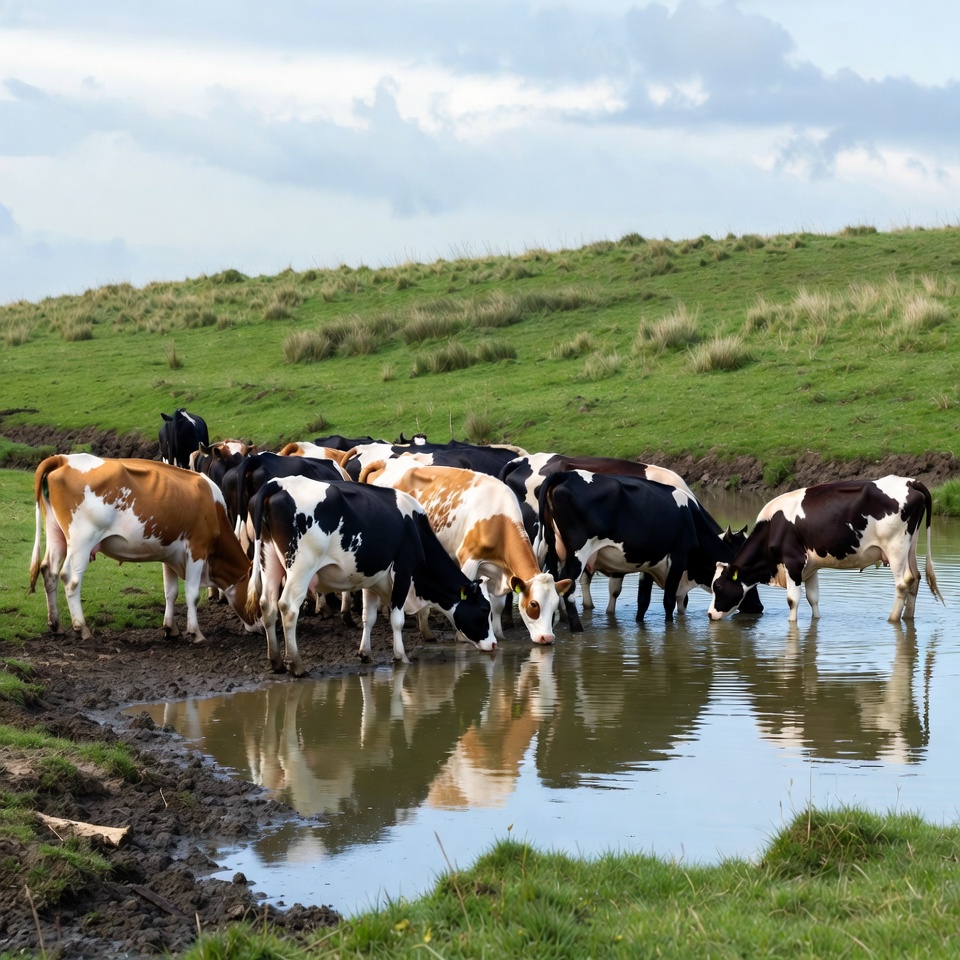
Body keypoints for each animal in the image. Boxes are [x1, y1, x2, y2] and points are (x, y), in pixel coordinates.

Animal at [29, 454, 261, 643]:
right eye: (259, 601)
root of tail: (64, 459)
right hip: (82, 541)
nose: (260, 629)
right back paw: (82, 627)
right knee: (71, 579)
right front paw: (196, 633)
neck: (213, 508)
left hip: (56, 534)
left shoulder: (170, 554)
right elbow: (192, 594)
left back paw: (56, 625)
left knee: (49, 571)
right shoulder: (197, 549)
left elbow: (171, 592)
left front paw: (170, 629)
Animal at [247, 476, 496, 675]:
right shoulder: (403, 572)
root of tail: (279, 483)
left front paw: (365, 653)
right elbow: (397, 619)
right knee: (288, 607)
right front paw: (401, 656)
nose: (494, 645)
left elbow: (369, 617)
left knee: (267, 605)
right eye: (485, 609)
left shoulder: (372, 579)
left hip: (269, 560)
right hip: (301, 565)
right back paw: (296, 664)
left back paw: (276, 662)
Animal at [360, 459, 573, 645]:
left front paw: (498, 633)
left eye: (555, 605)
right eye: (533, 605)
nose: (547, 638)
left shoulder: (496, 570)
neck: (498, 521)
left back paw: (425, 631)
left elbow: (496, 605)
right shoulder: (469, 559)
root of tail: (388, 463)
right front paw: (461, 636)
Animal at [538, 470, 750, 631]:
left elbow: (643, 601)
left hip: (553, 551)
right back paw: (577, 628)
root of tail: (566, 475)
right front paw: (670, 627)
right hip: (579, 553)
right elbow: (668, 601)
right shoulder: (678, 559)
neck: (692, 520)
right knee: (568, 584)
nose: (756, 607)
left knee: (556, 581)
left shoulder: (649, 565)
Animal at [707, 476, 944, 623]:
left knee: (903, 582)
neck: (774, 527)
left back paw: (893, 619)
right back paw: (907, 618)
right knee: (916, 578)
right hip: (910, 545)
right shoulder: (811, 567)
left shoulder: (793, 562)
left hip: (896, 547)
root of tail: (910, 481)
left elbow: (792, 600)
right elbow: (813, 598)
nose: (709, 614)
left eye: (718, 586)